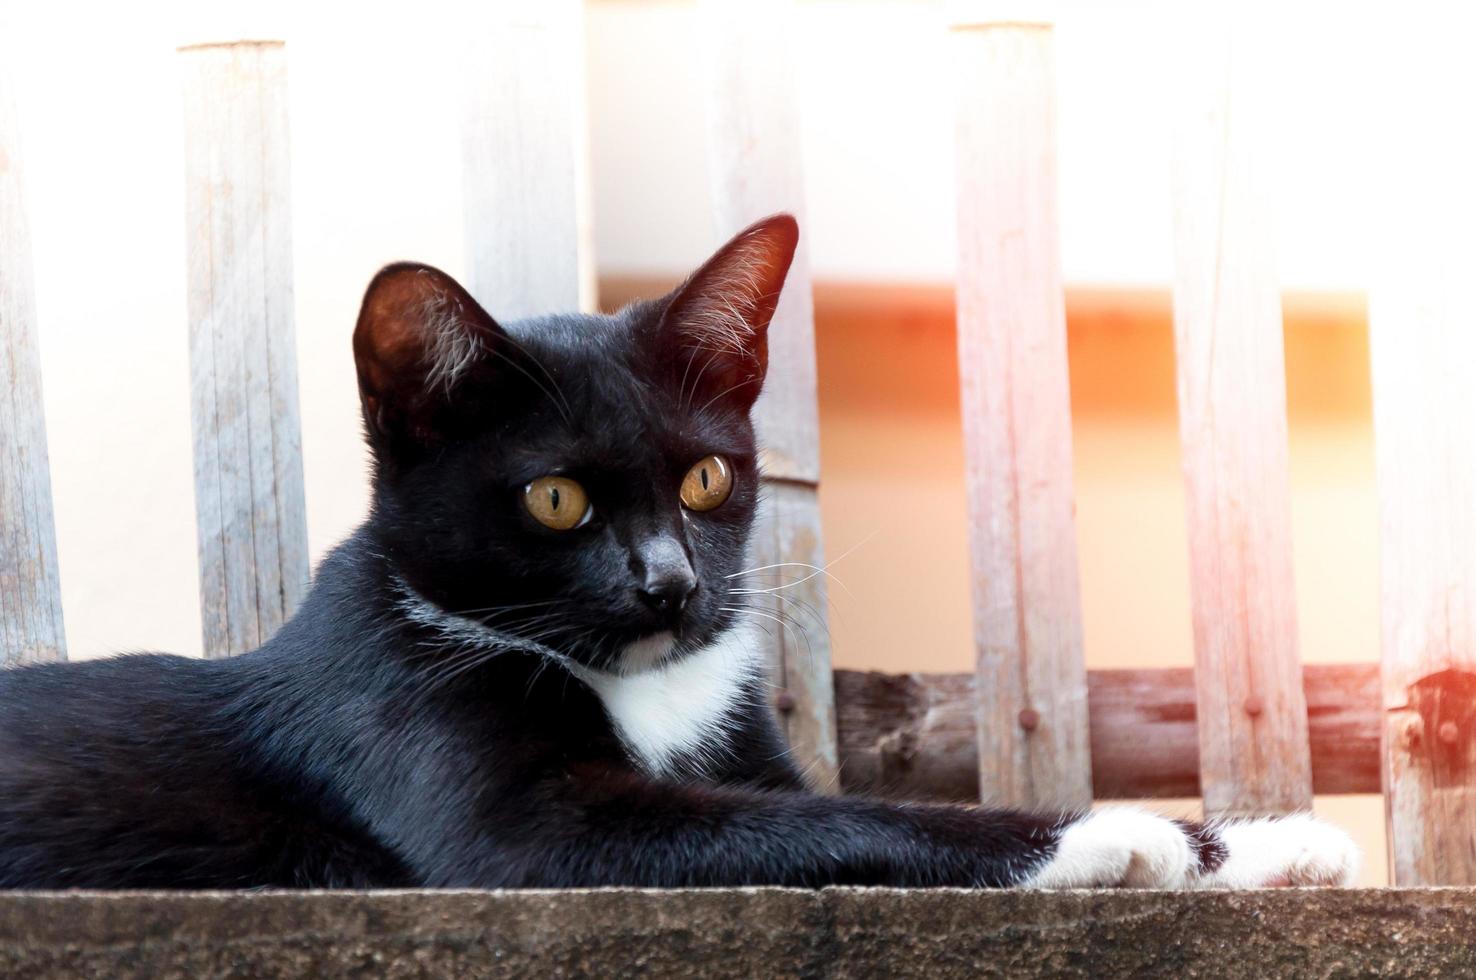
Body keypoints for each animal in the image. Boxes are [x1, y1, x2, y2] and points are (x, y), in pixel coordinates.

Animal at [0, 218, 1352, 891]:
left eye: (705, 476)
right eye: (554, 497)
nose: (671, 579)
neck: (644, 685)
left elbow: (805, 801)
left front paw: (1266, 843)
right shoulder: (498, 811)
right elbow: (839, 818)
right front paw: (1109, 838)